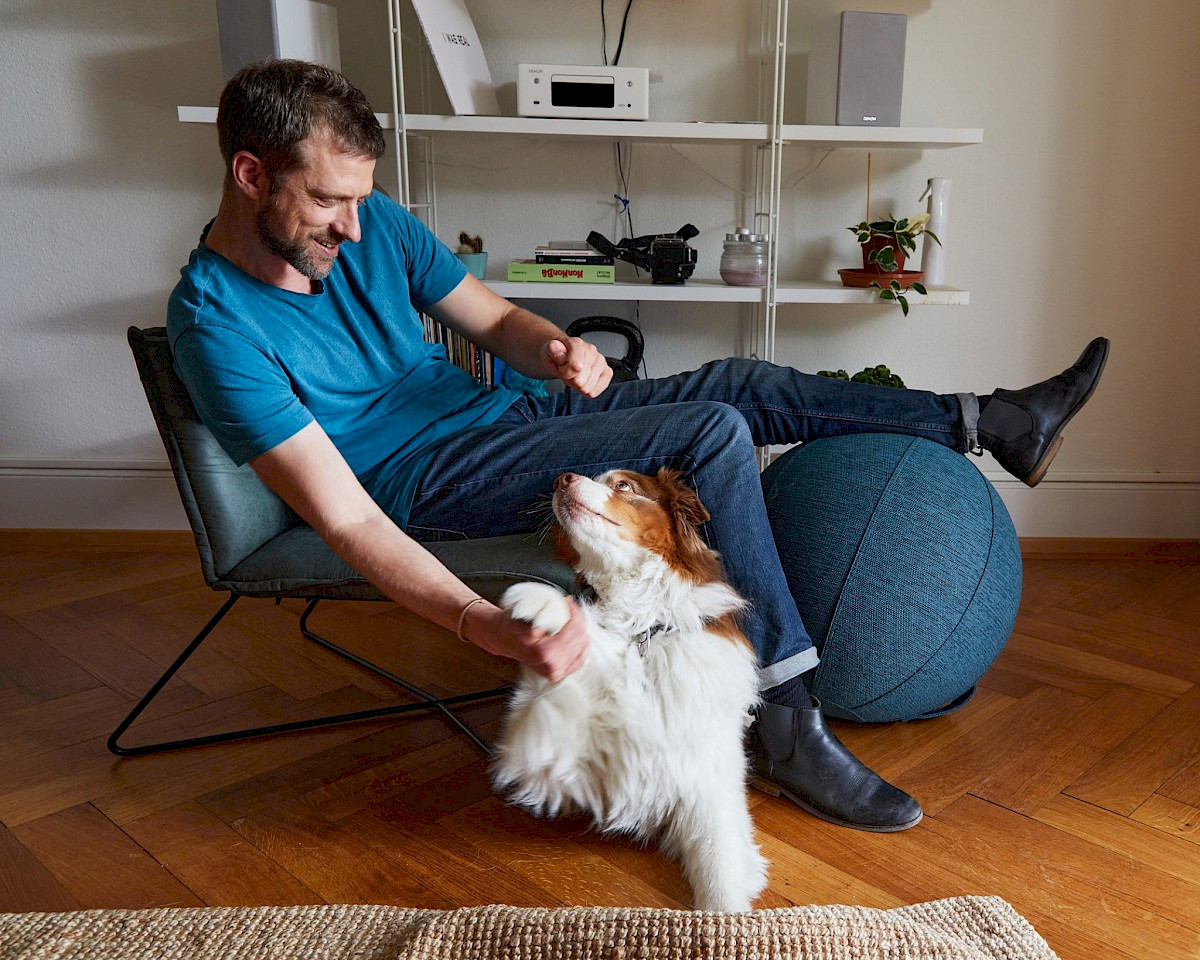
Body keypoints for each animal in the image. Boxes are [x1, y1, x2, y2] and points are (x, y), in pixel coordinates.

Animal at [492, 468, 767, 912]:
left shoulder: (707, 780)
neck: (642, 628)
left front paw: (726, 916)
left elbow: (720, 869)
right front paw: (543, 603)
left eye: (623, 486)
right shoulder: (546, 748)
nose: (562, 478)